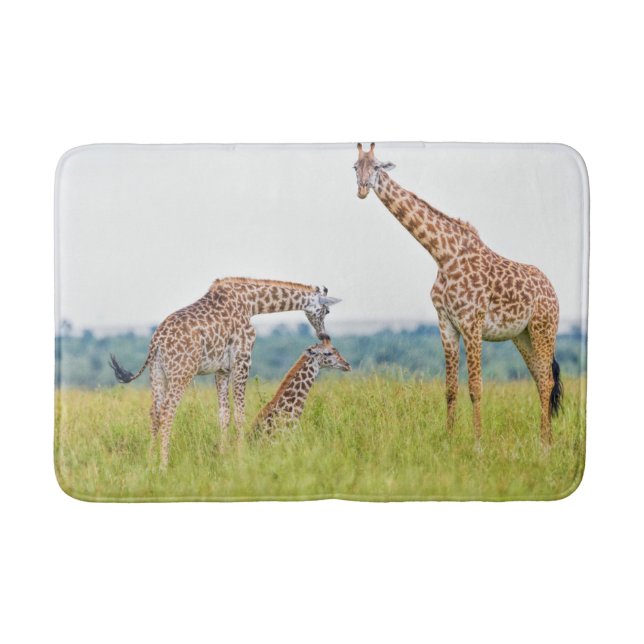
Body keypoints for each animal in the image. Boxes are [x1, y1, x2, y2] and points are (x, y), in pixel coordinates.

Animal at [109, 277, 341, 465]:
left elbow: (223, 414)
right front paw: (241, 455)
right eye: (327, 311)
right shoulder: (242, 359)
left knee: (155, 412)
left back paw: (150, 461)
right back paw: (163, 465)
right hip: (181, 373)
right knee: (168, 412)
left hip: (157, 374)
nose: (324, 335)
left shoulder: (221, 369)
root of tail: (156, 342)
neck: (251, 303)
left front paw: (223, 456)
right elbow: (239, 414)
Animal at [354, 143, 563, 446]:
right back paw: (545, 439)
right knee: (540, 379)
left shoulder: (472, 323)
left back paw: (545, 445)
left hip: (543, 329)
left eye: (378, 166)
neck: (443, 255)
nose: (362, 189)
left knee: (547, 381)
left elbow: (475, 387)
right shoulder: (446, 324)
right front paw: (448, 440)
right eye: (355, 167)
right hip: (521, 336)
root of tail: (552, 289)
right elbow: (450, 389)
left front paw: (477, 444)